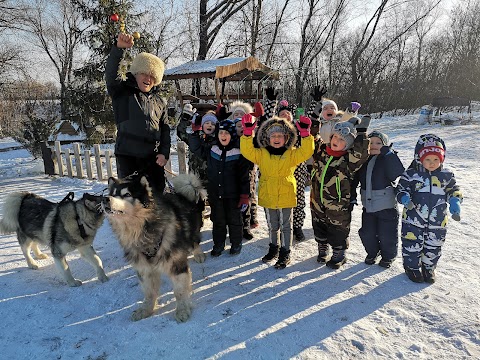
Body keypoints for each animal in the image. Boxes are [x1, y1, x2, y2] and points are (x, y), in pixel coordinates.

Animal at [105, 173, 206, 322]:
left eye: (127, 194)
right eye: (112, 194)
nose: (105, 199)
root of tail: (183, 192)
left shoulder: (177, 264)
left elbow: (180, 290)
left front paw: (182, 310)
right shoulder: (144, 268)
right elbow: (149, 292)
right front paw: (146, 309)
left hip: (193, 229)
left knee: (195, 241)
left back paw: (199, 254)